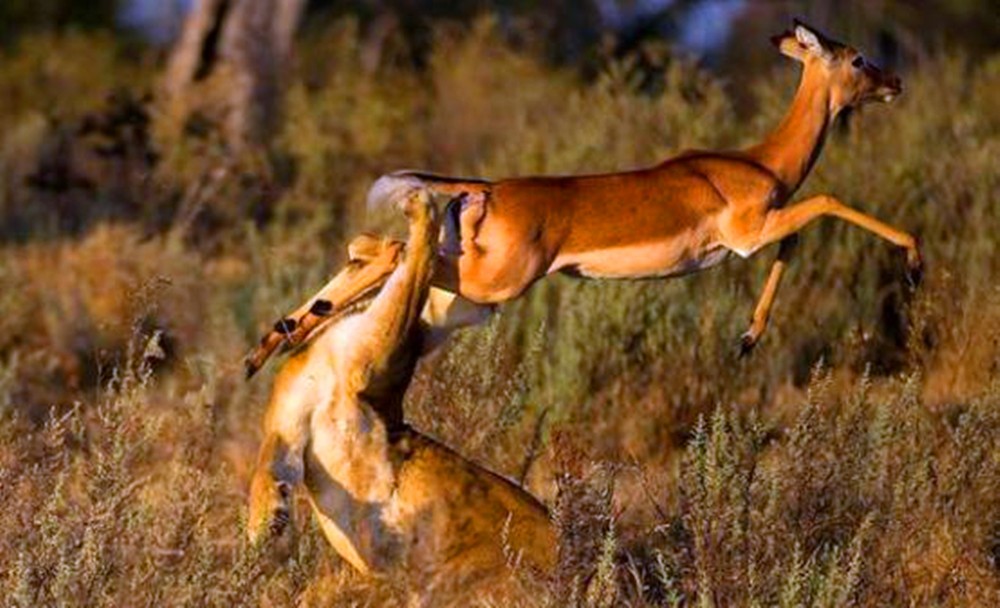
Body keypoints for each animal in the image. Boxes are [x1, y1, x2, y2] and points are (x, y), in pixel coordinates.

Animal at [244, 20, 920, 376]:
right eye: (859, 58)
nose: (896, 81)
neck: (759, 161)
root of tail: (487, 189)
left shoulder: (760, 235)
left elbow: (799, 238)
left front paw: (748, 338)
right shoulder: (751, 232)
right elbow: (828, 203)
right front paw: (914, 264)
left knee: (367, 247)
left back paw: (269, 346)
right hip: (493, 282)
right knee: (384, 250)